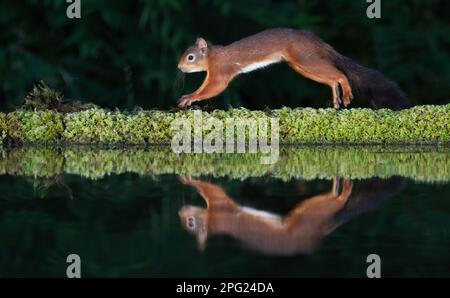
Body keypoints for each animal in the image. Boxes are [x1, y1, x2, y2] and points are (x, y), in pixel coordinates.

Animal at [178, 27, 410, 109]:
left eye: (190, 57)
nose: (179, 67)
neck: (212, 57)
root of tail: (317, 41)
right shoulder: (211, 74)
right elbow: (204, 88)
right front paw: (186, 97)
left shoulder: (220, 71)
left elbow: (213, 88)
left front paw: (189, 97)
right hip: (301, 65)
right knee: (332, 78)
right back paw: (336, 99)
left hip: (305, 59)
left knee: (340, 75)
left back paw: (345, 95)